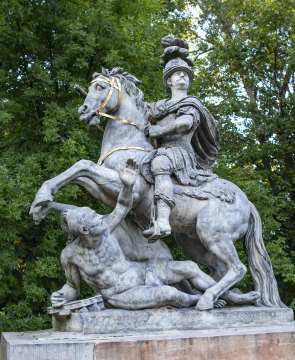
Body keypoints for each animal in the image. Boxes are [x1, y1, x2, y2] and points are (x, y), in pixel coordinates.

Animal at [30, 67, 286, 310]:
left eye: (101, 87)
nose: (83, 111)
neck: (127, 141)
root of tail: (247, 202)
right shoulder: (103, 190)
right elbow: (80, 173)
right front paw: (41, 205)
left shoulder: (127, 188)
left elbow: (83, 165)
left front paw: (42, 197)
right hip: (194, 241)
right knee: (218, 269)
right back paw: (227, 299)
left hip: (213, 234)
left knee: (238, 268)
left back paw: (207, 299)